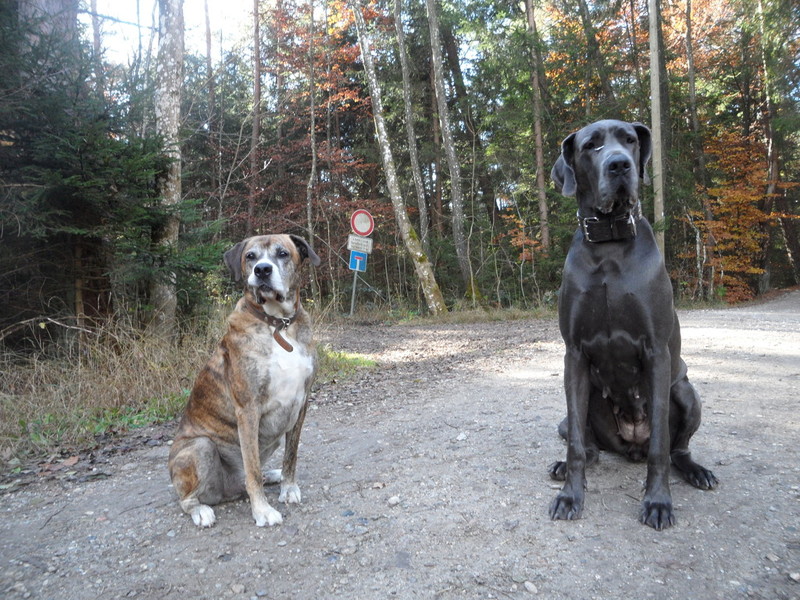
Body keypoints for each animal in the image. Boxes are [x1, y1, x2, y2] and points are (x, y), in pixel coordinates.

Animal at [168, 234, 321, 528]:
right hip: (200, 447)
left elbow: (291, 455)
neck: (278, 324)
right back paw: (201, 510)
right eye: (250, 256)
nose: (262, 270)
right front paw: (262, 510)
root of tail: (227, 491)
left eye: (283, 253)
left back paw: (272, 474)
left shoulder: (301, 402)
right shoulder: (248, 410)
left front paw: (288, 488)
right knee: (188, 499)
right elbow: (251, 468)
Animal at [548, 119, 717, 530]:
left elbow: (660, 447)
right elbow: (576, 445)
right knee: (586, 444)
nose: (620, 165)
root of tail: (631, 447)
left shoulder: (656, 352)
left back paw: (696, 470)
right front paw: (570, 496)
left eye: (629, 140)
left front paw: (658, 503)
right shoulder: (574, 355)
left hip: (686, 392)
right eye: (591, 146)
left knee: (675, 449)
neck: (609, 243)